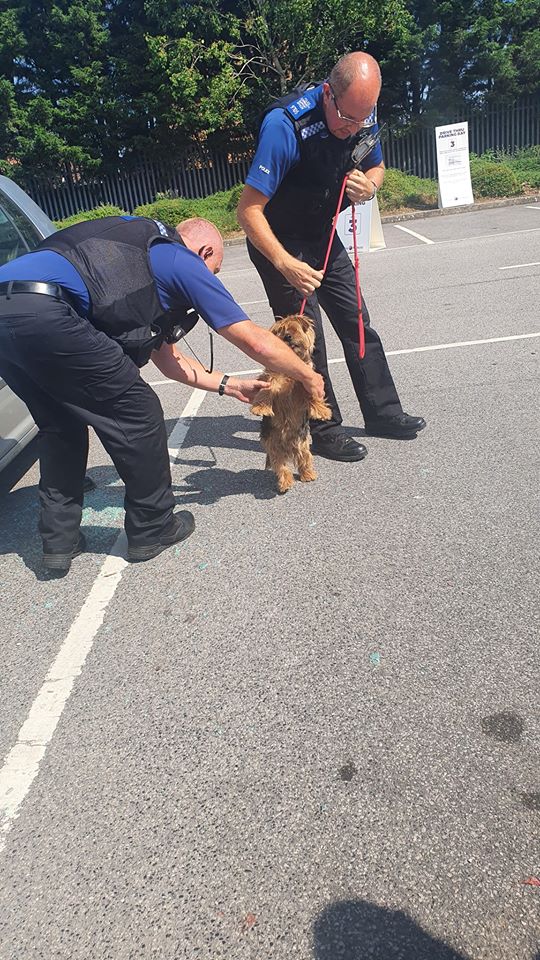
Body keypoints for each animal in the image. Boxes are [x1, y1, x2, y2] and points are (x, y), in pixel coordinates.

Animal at [251, 316, 332, 496]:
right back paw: (285, 483)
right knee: (282, 467)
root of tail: (288, 446)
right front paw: (260, 408)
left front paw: (322, 410)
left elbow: (313, 393)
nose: (287, 336)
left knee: (305, 459)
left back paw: (308, 474)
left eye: (293, 329)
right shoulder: (271, 376)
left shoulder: (306, 380)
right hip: (274, 448)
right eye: (279, 331)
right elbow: (268, 389)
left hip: (302, 444)